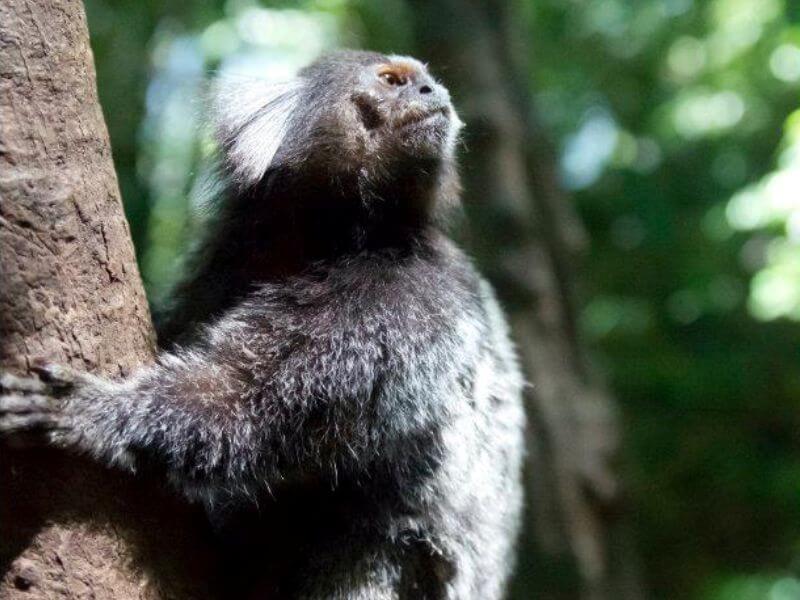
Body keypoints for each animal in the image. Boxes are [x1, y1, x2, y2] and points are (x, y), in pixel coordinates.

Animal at [0, 51, 526, 599]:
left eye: (425, 81)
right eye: (392, 80)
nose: (432, 91)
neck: (331, 235)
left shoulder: (409, 296)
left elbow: (260, 403)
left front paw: (96, 414)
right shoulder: (223, 263)